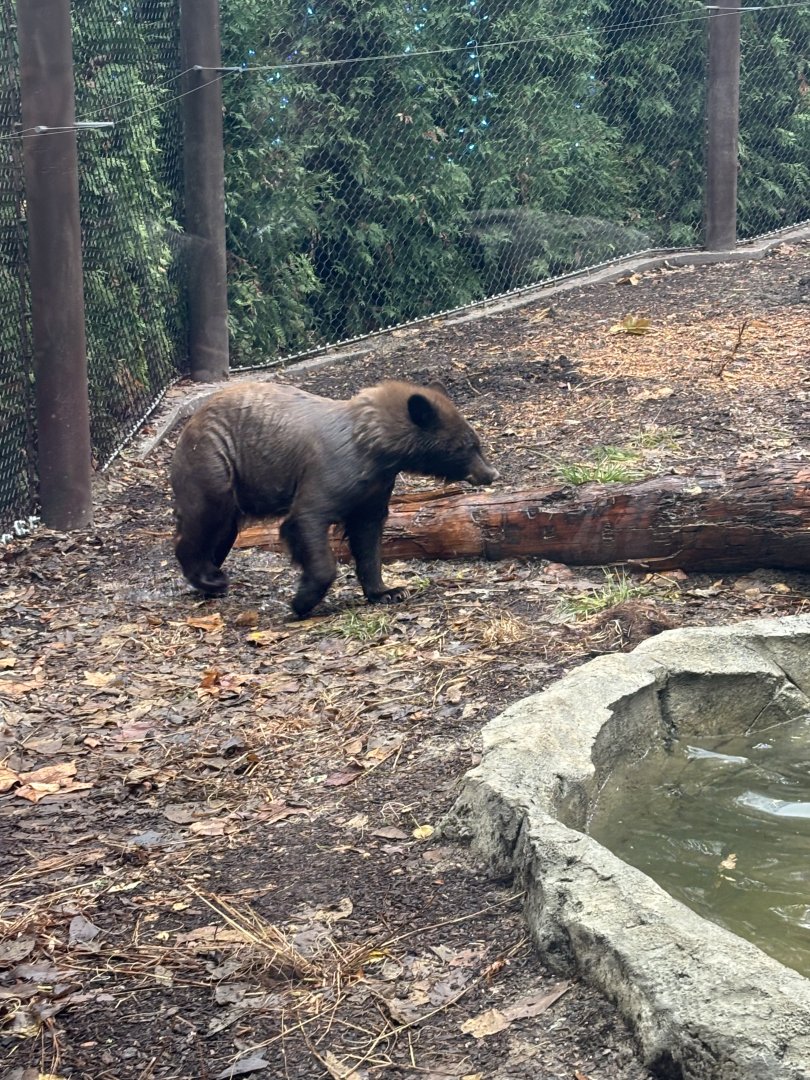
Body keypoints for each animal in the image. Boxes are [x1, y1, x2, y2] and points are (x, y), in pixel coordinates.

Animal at [170, 379, 498, 617]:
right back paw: (210, 578)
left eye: (476, 443)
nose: (490, 473)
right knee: (205, 518)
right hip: (215, 462)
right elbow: (306, 520)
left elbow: (368, 539)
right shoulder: (329, 474)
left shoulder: (373, 491)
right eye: (466, 446)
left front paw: (388, 591)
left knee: (223, 532)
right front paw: (301, 601)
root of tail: (190, 423)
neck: (374, 448)